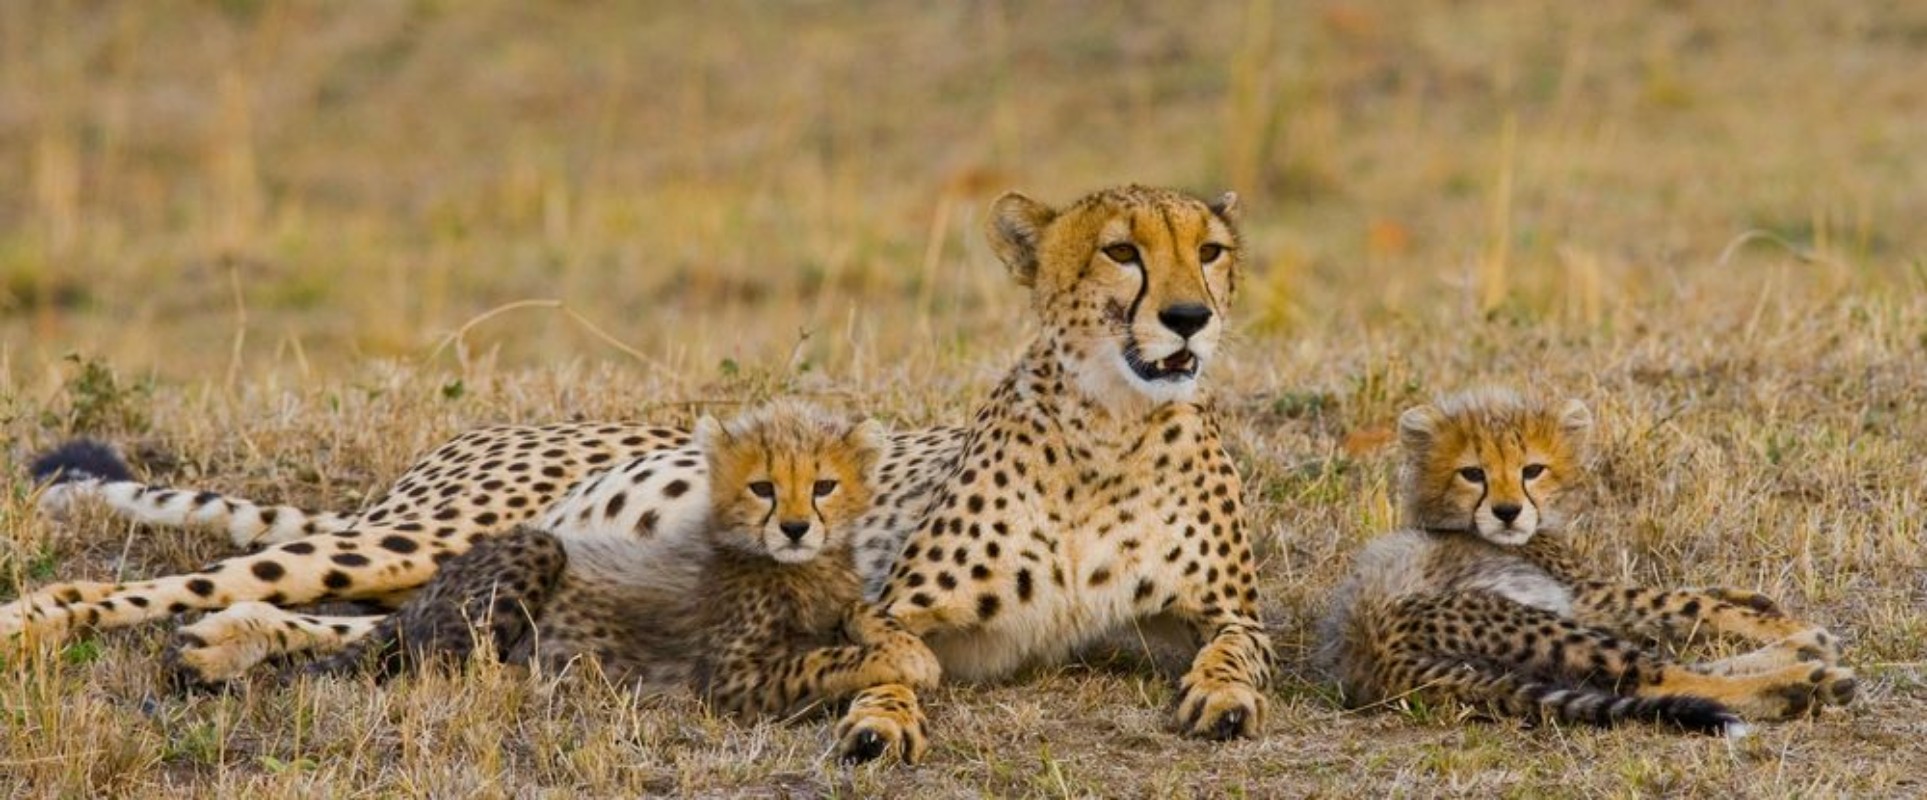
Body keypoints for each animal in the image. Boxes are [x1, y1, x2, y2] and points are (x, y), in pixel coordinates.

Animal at [298, 400, 939, 719]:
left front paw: (909, 649)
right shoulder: (731, 678)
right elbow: (826, 660)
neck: (799, 568)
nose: (796, 528)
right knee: (445, 667)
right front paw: (900, 662)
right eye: (763, 487)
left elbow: (868, 614)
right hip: (535, 547)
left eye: (824, 485)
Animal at [1318, 388, 1856, 737]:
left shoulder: (1584, 596)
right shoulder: (1586, 595)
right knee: (1659, 677)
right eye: (1472, 474)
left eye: (1532, 470)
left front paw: (1762, 605)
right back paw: (1802, 681)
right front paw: (1784, 623)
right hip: (1536, 626)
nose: (1507, 512)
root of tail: (1374, 660)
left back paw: (1802, 653)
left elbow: (1694, 596)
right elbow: (1682, 602)